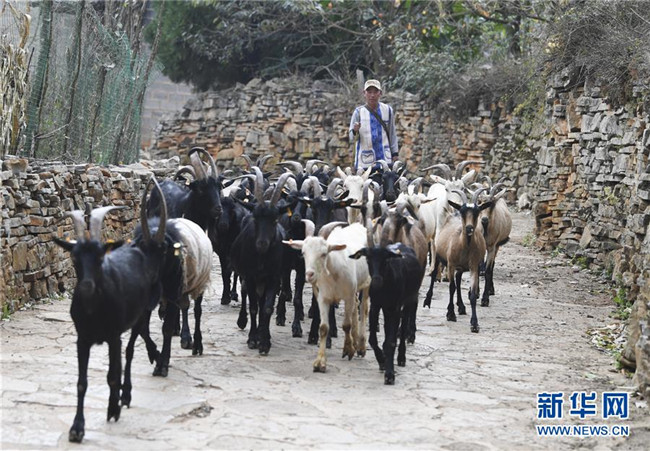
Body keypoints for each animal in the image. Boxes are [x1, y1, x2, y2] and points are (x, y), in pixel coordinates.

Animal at [53, 178, 168, 443]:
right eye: (74, 258)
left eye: (100, 256)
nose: (86, 287)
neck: (94, 309)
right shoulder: (82, 339)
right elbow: (82, 383)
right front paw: (77, 428)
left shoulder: (113, 335)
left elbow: (113, 374)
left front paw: (113, 408)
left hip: (138, 315)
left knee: (129, 351)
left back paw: (125, 395)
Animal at [283, 220, 371, 372]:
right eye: (303, 252)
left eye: (324, 254)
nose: (309, 274)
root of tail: (359, 225)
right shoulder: (323, 298)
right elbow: (323, 328)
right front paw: (320, 362)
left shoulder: (347, 295)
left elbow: (346, 325)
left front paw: (348, 349)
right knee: (356, 306)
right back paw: (355, 339)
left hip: (366, 282)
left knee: (364, 308)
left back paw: (360, 345)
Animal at [432, 188, 492, 333]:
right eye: (463, 211)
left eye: (477, 212)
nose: (469, 228)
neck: (464, 246)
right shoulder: (451, 264)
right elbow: (451, 287)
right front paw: (450, 314)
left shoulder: (474, 266)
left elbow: (472, 293)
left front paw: (474, 324)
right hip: (439, 256)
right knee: (437, 276)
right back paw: (428, 300)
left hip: (461, 267)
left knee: (459, 280)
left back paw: (461, 307)